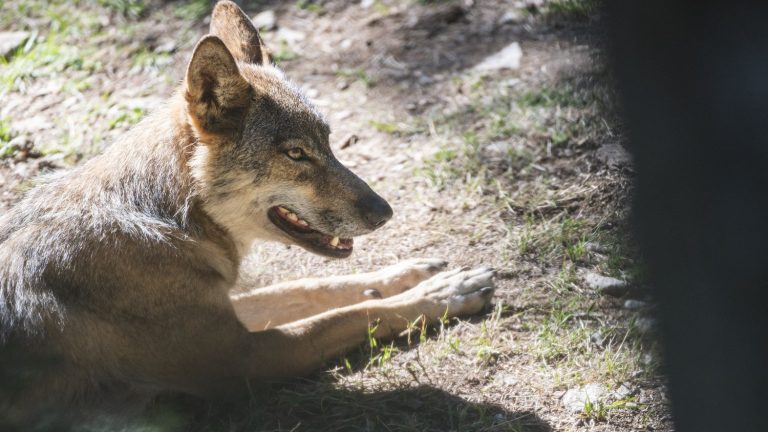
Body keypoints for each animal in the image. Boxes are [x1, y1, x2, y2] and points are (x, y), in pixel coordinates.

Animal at [0, 0, 492, 426]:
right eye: (296, 154)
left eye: (328, 143)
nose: (384, 212)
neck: (168, 222)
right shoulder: (243, 361)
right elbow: (349, 315)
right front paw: (439, 296)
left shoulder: (229, 309)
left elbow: (320, 287)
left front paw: (420, 275)